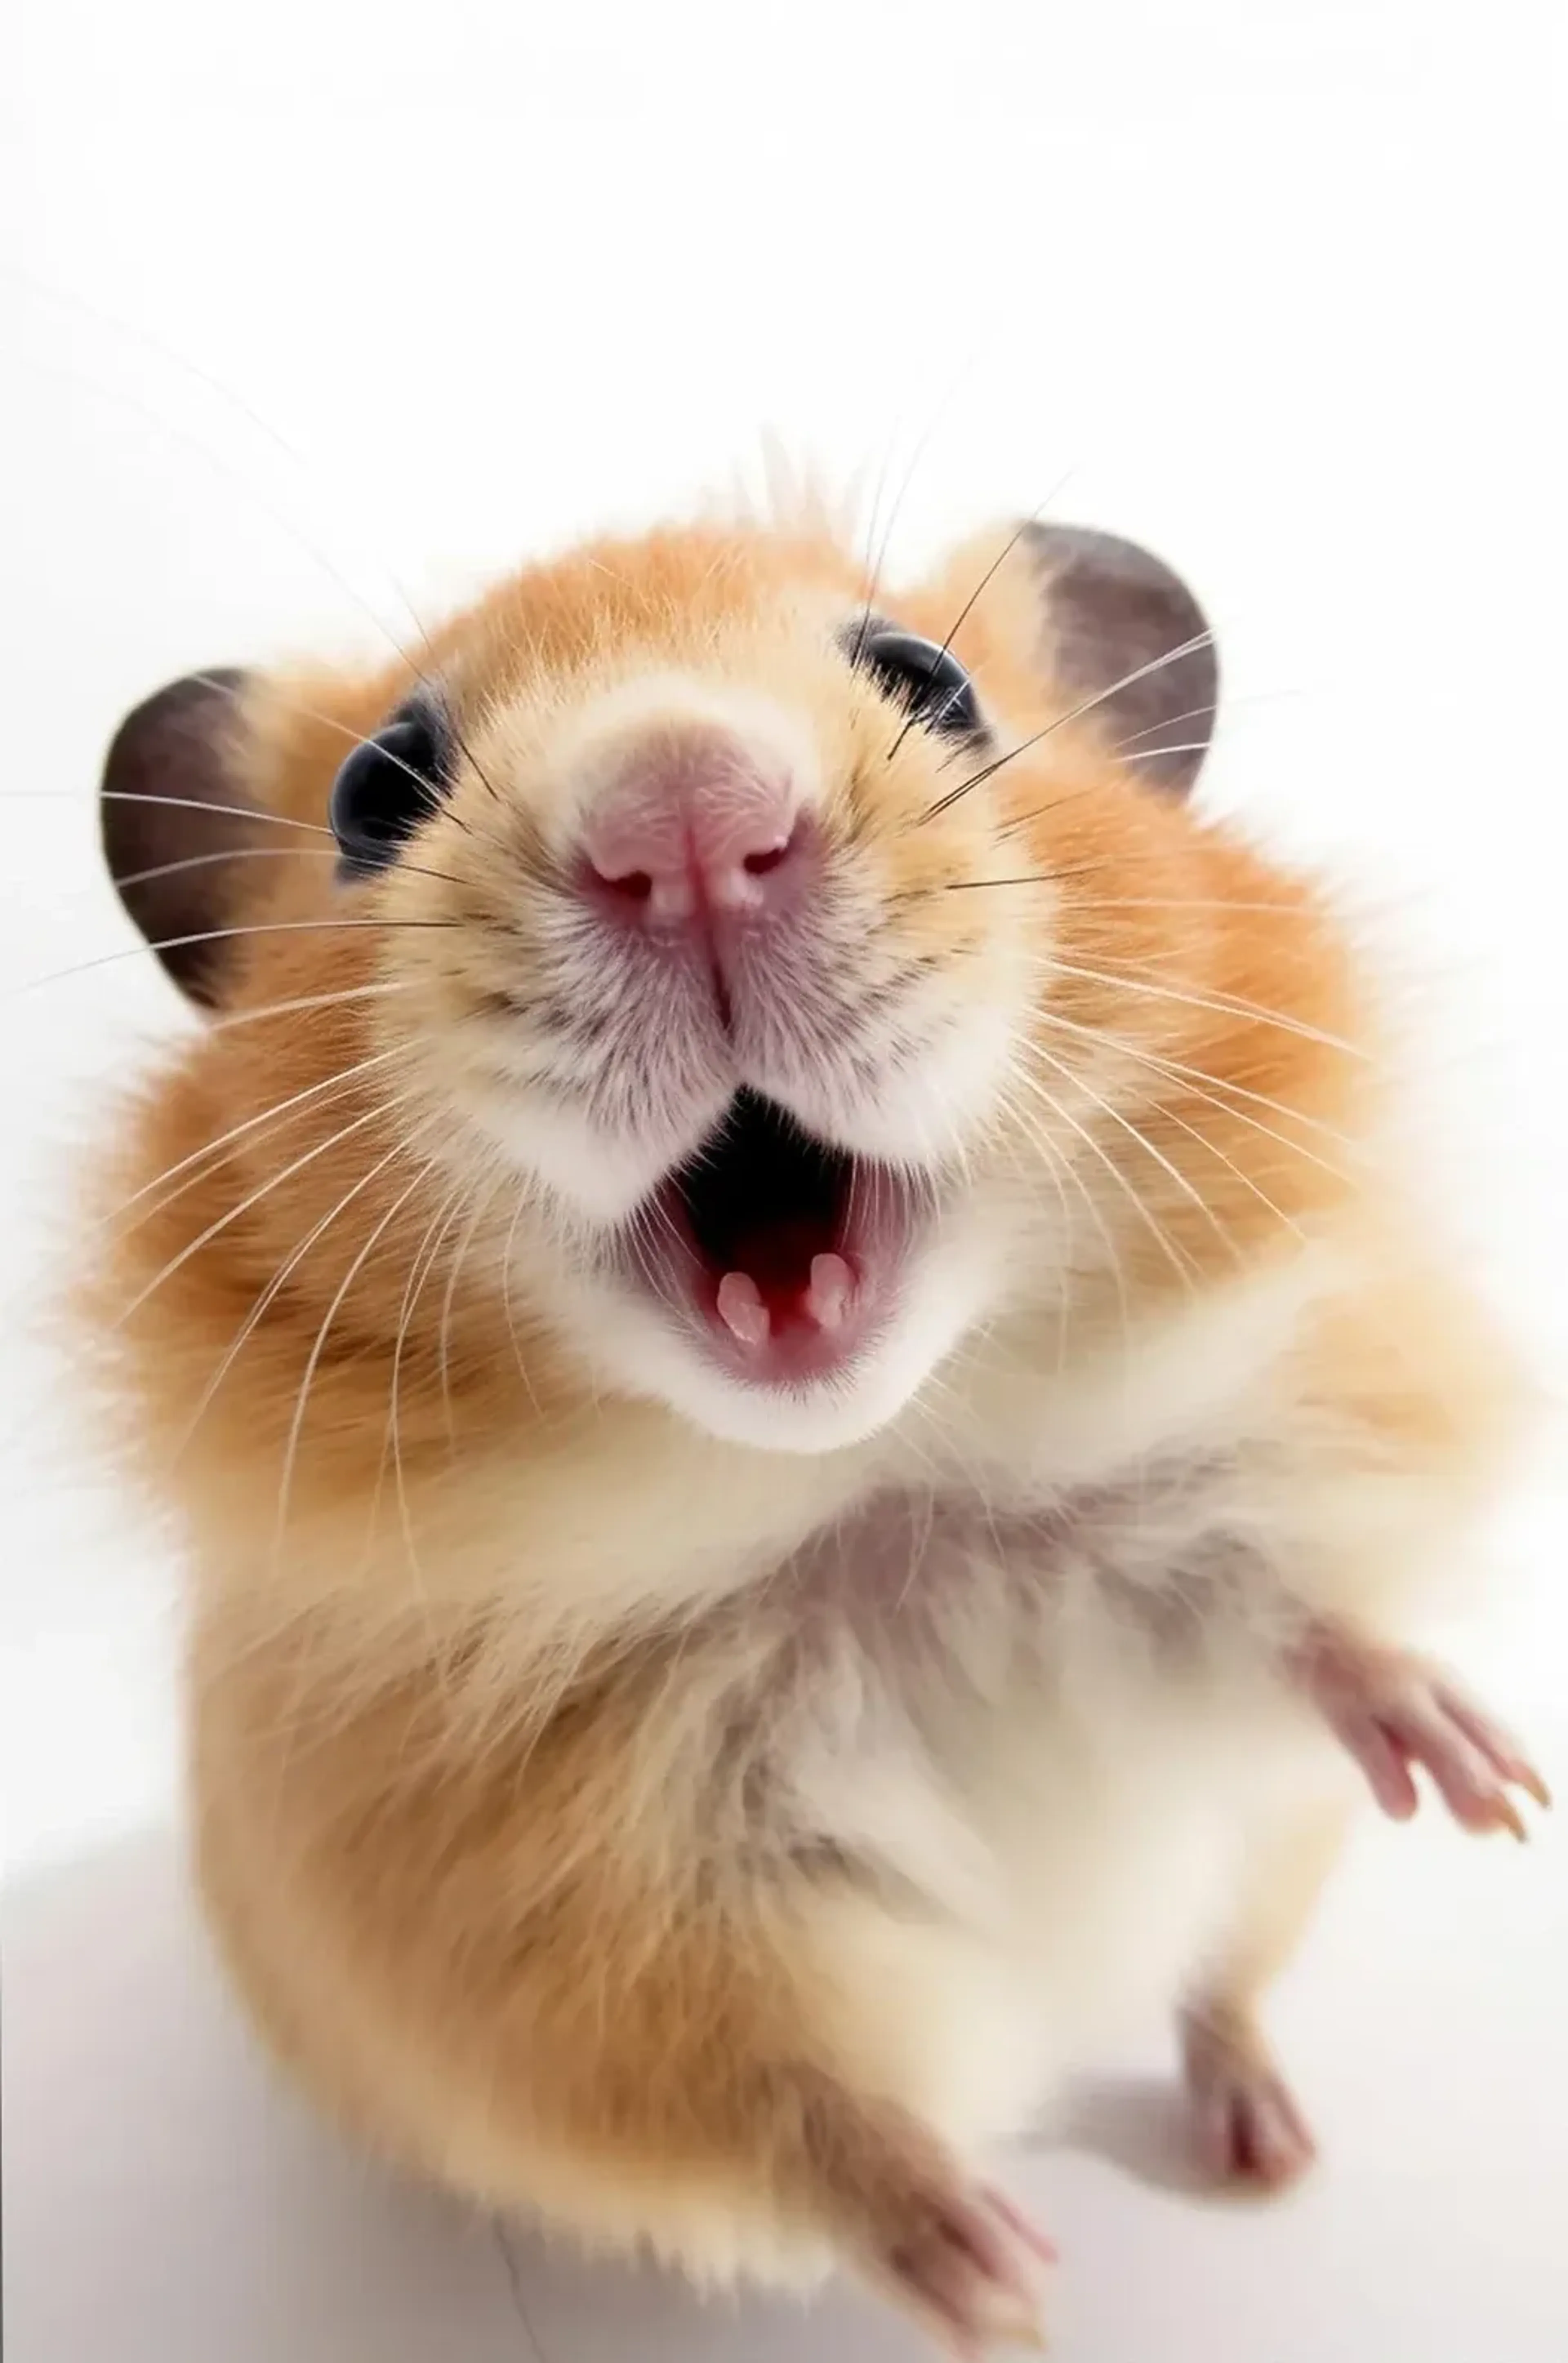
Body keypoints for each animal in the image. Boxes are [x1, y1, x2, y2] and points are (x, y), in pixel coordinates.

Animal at [73, 502, 1547, 2353]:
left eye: (929, 682)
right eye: (375, 794)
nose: (684, 814)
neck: (868, 1483)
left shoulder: (1221, 1517)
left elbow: (1311, 1625)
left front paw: (1498, 1790)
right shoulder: (592, 1937)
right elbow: (810, 2108)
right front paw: (1008, 2287)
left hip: (1275, 1864)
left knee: (1221, 1993)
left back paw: (1267, 2145)